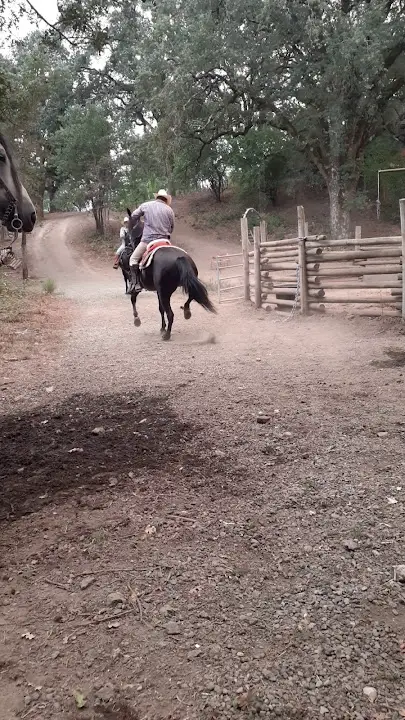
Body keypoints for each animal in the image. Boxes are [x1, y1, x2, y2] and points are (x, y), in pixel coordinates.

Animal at [127, 210, 215, 342]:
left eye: (128, 226)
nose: (127, 243)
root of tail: (180, 257)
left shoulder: (141, 287)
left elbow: (134, 299)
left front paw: (137, 320)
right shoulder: (158, 291)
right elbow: (160, 309)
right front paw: (162, 328)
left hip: (165, 292)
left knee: (171, 313)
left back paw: (167, 335)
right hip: (186, 283)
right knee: (192, 295)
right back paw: (186, 312)